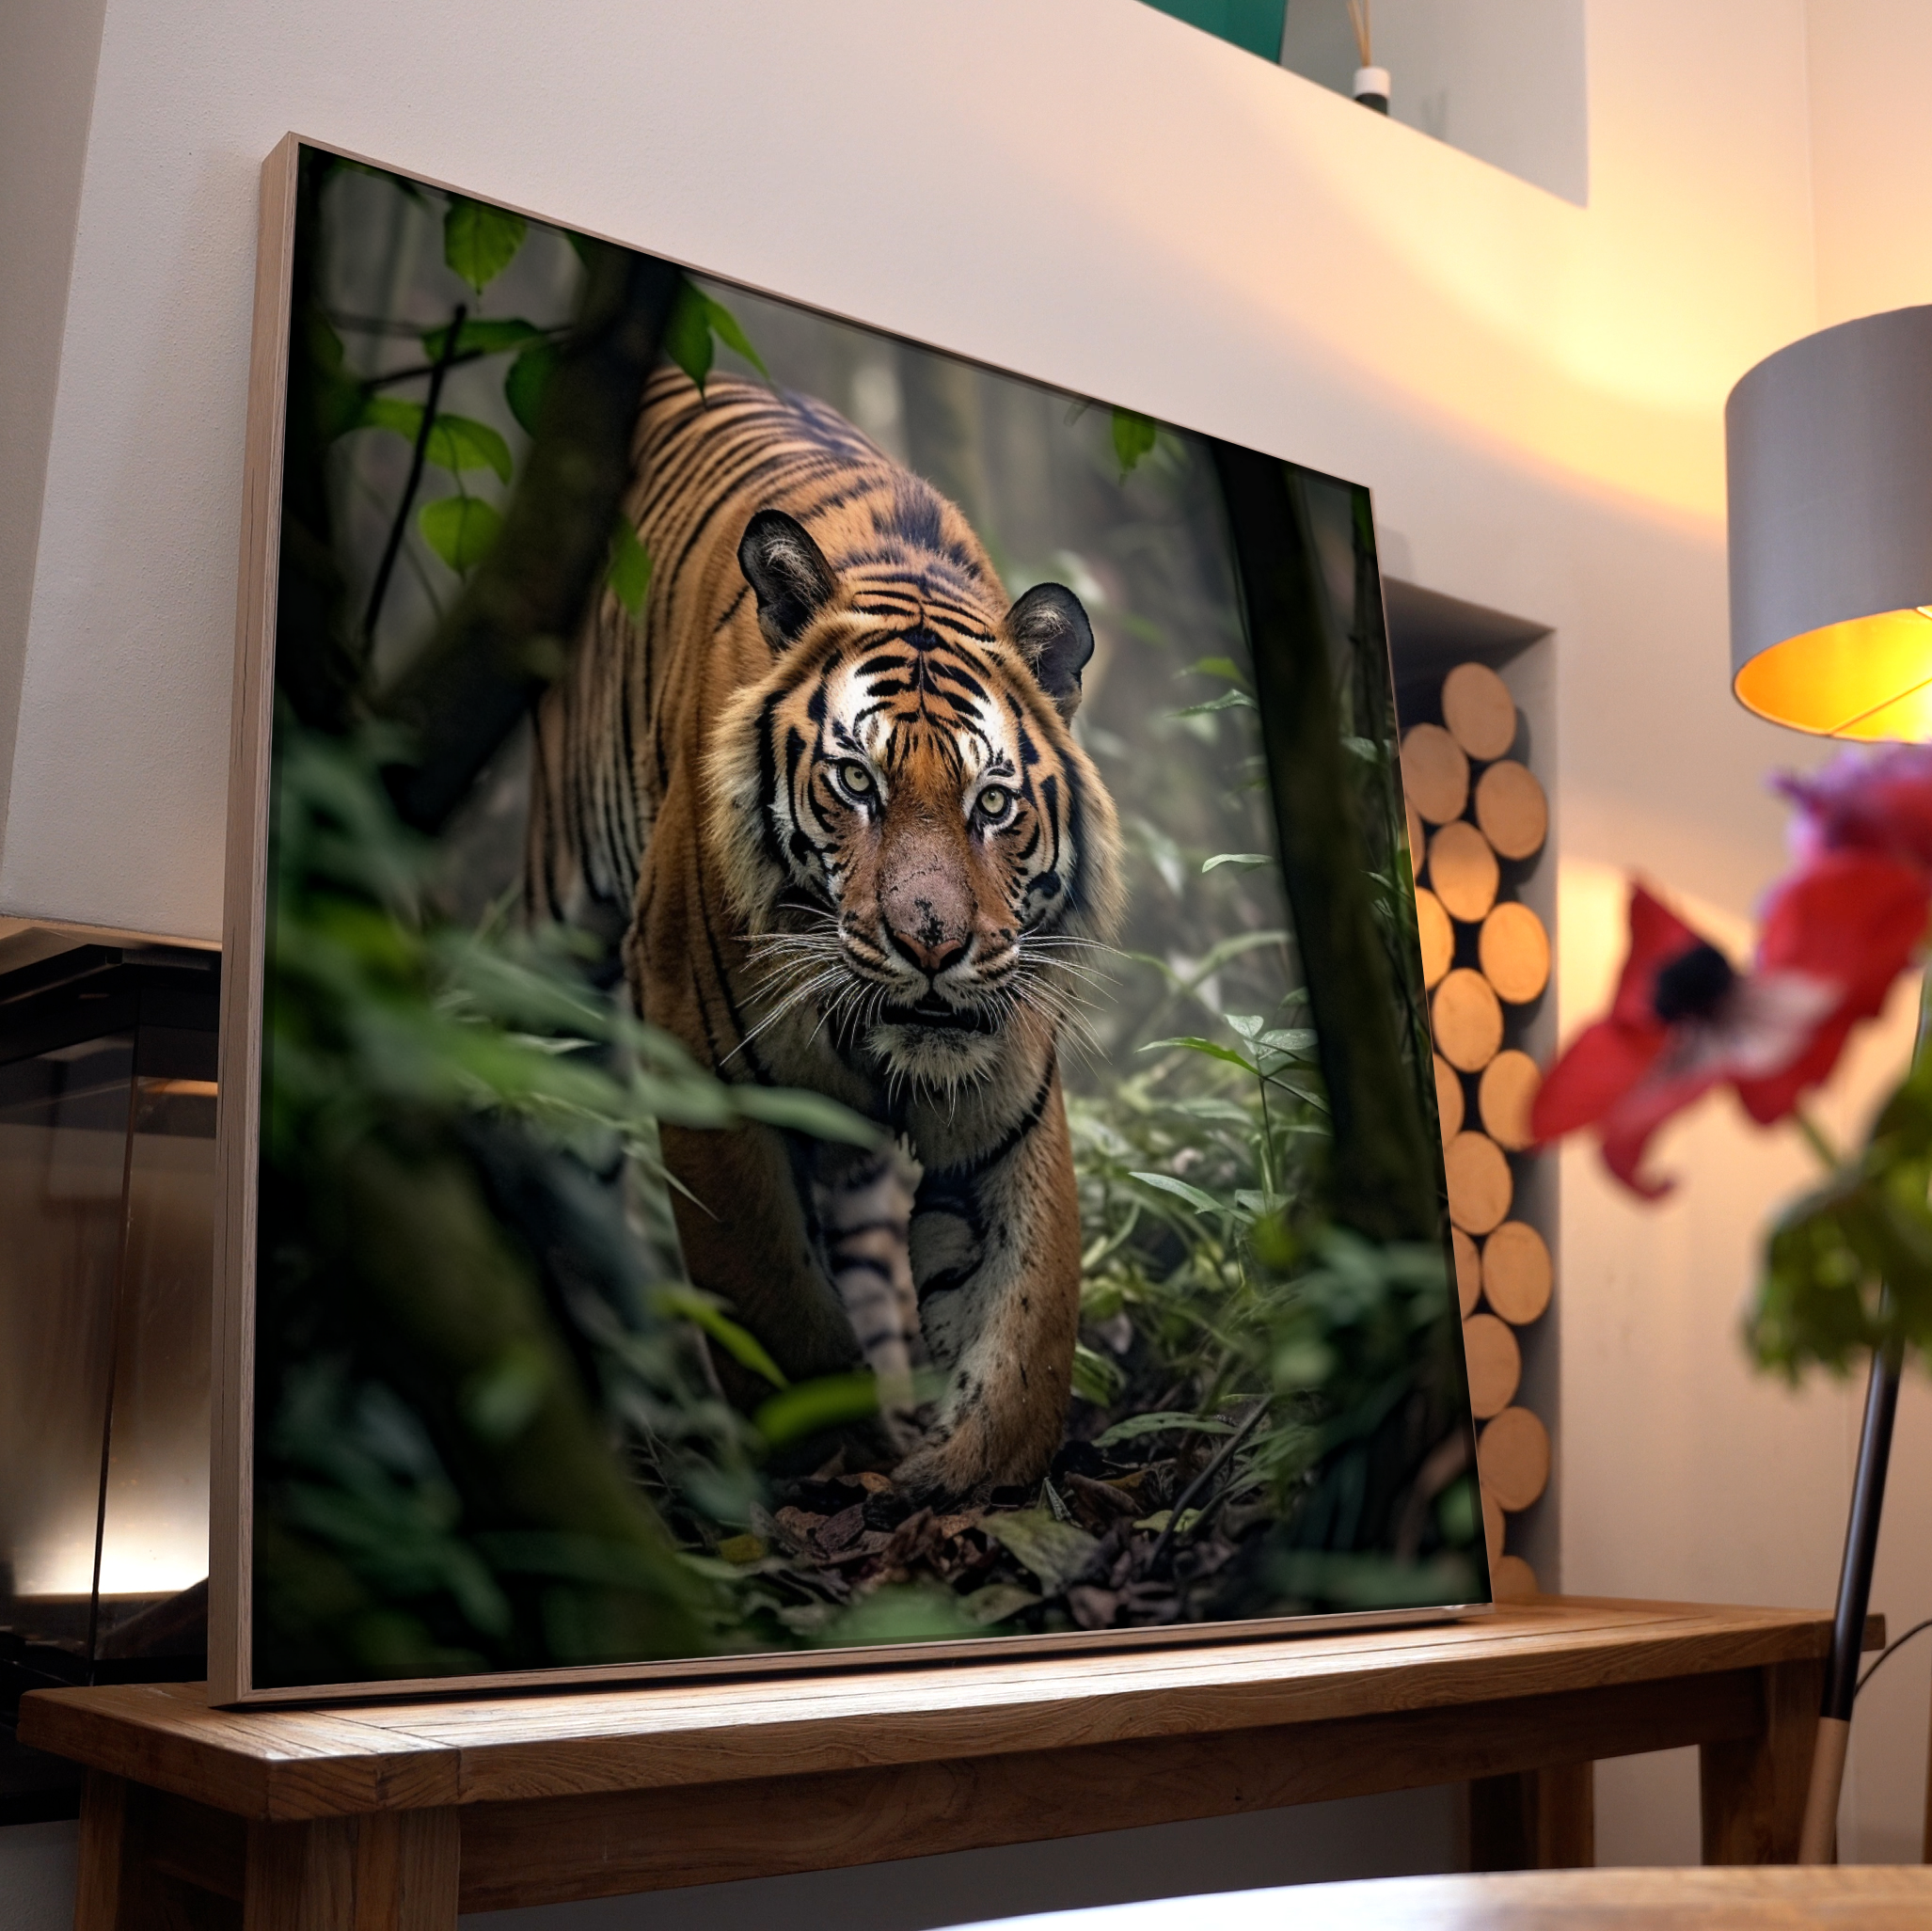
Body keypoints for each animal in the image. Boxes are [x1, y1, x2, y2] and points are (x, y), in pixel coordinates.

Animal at [527, 367, 1124, 1501]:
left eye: (991, 802)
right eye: (856, 782)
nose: (931, 944)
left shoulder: (1010, 1096)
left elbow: (1027, 1329)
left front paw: (964, 1480)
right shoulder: (702, 1064)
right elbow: (777, 1311)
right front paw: (838, 1465)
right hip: (564, 935)